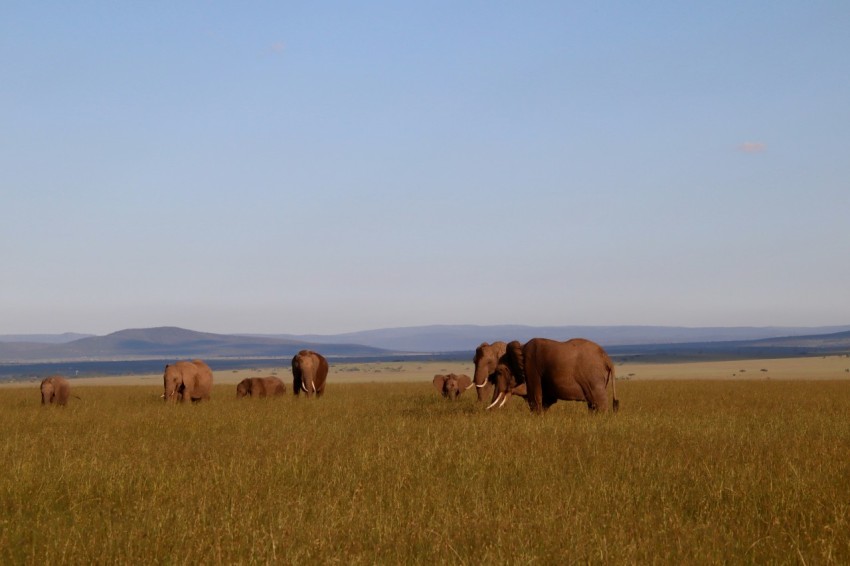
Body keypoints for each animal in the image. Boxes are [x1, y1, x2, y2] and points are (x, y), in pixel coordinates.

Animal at [488, 338, 619, 414]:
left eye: (499, 372)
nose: (489, 412)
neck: (521, 348)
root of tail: (607, 359)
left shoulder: (531, 367)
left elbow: (535, 398)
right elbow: (547, 400)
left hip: (593, 378)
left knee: (599, 404)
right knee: (592, 405)